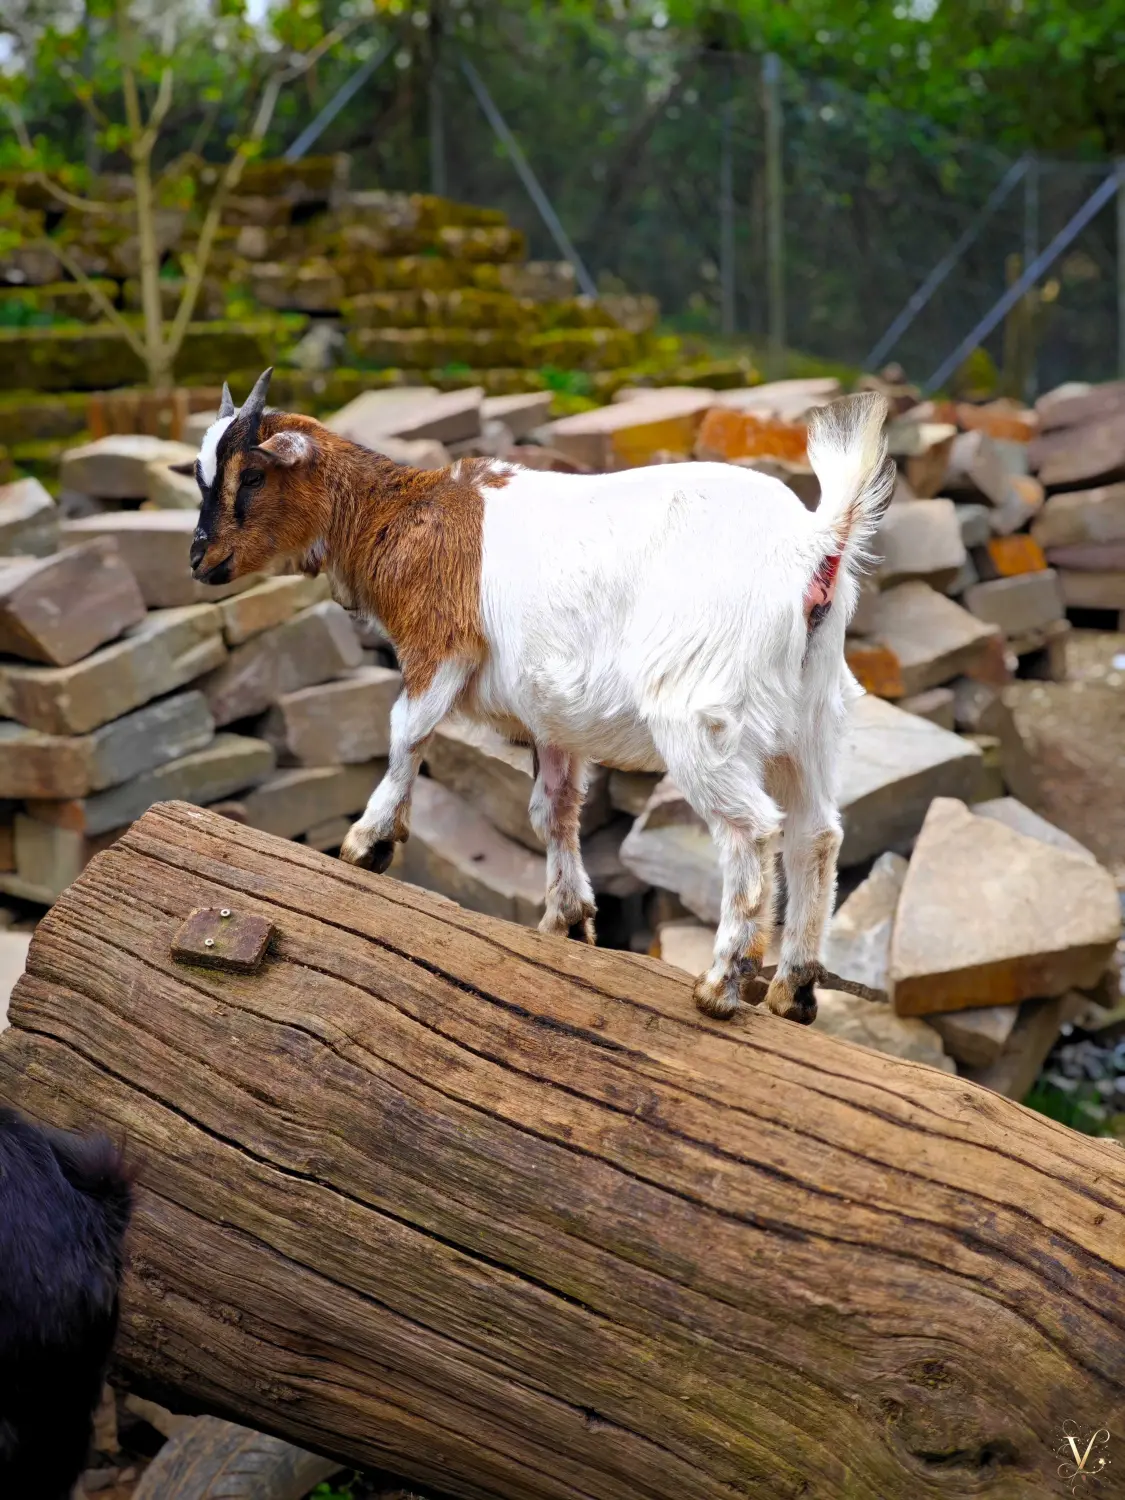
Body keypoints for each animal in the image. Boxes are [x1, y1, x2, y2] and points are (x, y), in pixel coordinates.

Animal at [183, 370, 888, 1026]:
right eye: (200, 475)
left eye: (251, 476)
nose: (199, 561)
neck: (403, 516)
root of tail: (813, 546)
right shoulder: (554, 716)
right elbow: (555, 808)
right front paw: (568, 918)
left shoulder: (441, 646)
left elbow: (406, 735)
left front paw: (367, 845)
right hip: (814, 717)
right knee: (816, 834)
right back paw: (793, 990)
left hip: (700, 710)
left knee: (752, 829)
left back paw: (720, 984)